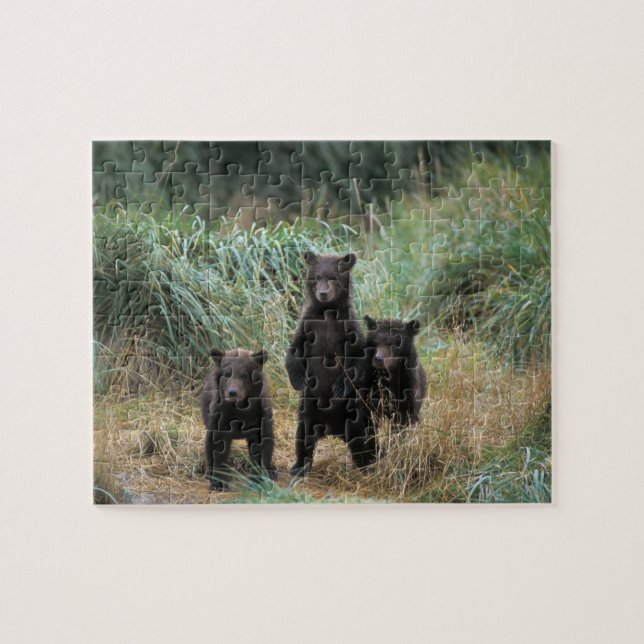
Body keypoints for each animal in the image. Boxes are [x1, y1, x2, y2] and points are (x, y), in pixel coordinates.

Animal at [201, 348, 277, 491]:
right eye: (227, 374)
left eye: (244, 375)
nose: (232, 392)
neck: (240, 408)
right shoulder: (221, 416)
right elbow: (217, 445)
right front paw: (218, 482)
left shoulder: (259, 417)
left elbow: (262, 445)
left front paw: (257, 479)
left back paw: (271, 471)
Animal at [285, 251, 377, 476]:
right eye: (318, 277)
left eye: (333, 277)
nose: (323, 293)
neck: (328, 312)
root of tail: (333, 429)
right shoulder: (308, 326)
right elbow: (294, 349)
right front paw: (298, 379)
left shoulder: (348, 327)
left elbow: (359, 358)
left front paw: (339, 387)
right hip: (308, 409)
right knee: (303, 437)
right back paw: (298, 466)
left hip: (354, 412)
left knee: (364, 438)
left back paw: (367, 466)